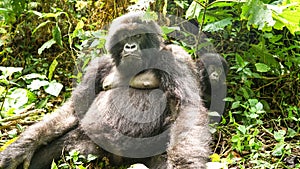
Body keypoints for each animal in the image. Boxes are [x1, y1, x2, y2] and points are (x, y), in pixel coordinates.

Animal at [0, 11, 221, 168]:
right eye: (124, 38)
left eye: (138, 36)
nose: (130, 47)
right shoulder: (99, 65)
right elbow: (74, 109)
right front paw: (21, 147)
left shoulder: (175, 57)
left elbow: (186, 108)